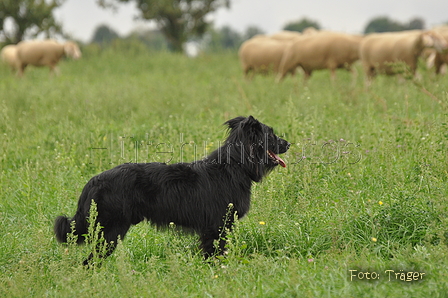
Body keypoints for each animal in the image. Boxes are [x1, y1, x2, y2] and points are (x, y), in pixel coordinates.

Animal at [54, 115, 290, 264]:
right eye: (271, 136)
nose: (288, 143)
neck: (234, 165)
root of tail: (94, 181)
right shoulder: (217, 227)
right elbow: (215, 254)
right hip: (111, 232)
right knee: (90, 261)